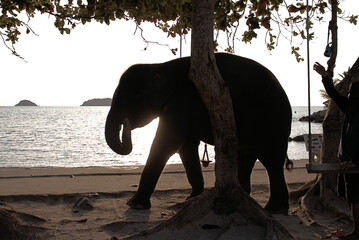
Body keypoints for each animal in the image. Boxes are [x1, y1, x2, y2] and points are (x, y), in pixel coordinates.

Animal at [105, 52, 294, 214]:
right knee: (247, 156)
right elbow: (185, 146)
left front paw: (134, 204)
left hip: (273, 120)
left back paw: (274, 209)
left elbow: (167, 143)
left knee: (271, 160)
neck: (160, 66)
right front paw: (192, 198)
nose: (125, 124)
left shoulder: (180, 104)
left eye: (132, 98)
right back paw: (251, 198)